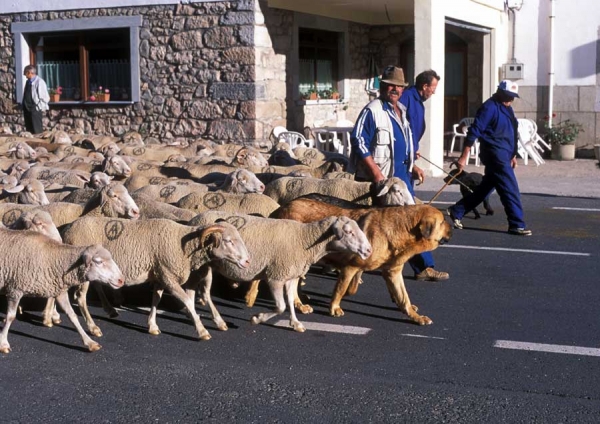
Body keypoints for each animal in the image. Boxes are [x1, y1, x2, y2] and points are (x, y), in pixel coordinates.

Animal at [64, 217, 252, 340]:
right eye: (228, 241)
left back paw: (110, 310)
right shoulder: (168, 276)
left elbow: (156, 299)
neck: (183, 245)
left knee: (96, 286)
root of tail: (68, 229)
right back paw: (93, 328)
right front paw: (202, 330)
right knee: (80, 297)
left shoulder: (160, 274)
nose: (247, 261)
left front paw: (152, 326)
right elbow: (187, 301)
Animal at [270, 195, 452, 324]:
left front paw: (415, 316)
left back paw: (300, 301)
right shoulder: (351, 267)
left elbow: (404, 298)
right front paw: (334, 307)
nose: (452, 228)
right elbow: (342, 289)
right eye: (443, 221)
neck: (402, 228)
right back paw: (299, 303)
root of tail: (280, 208)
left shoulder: (392, 273)